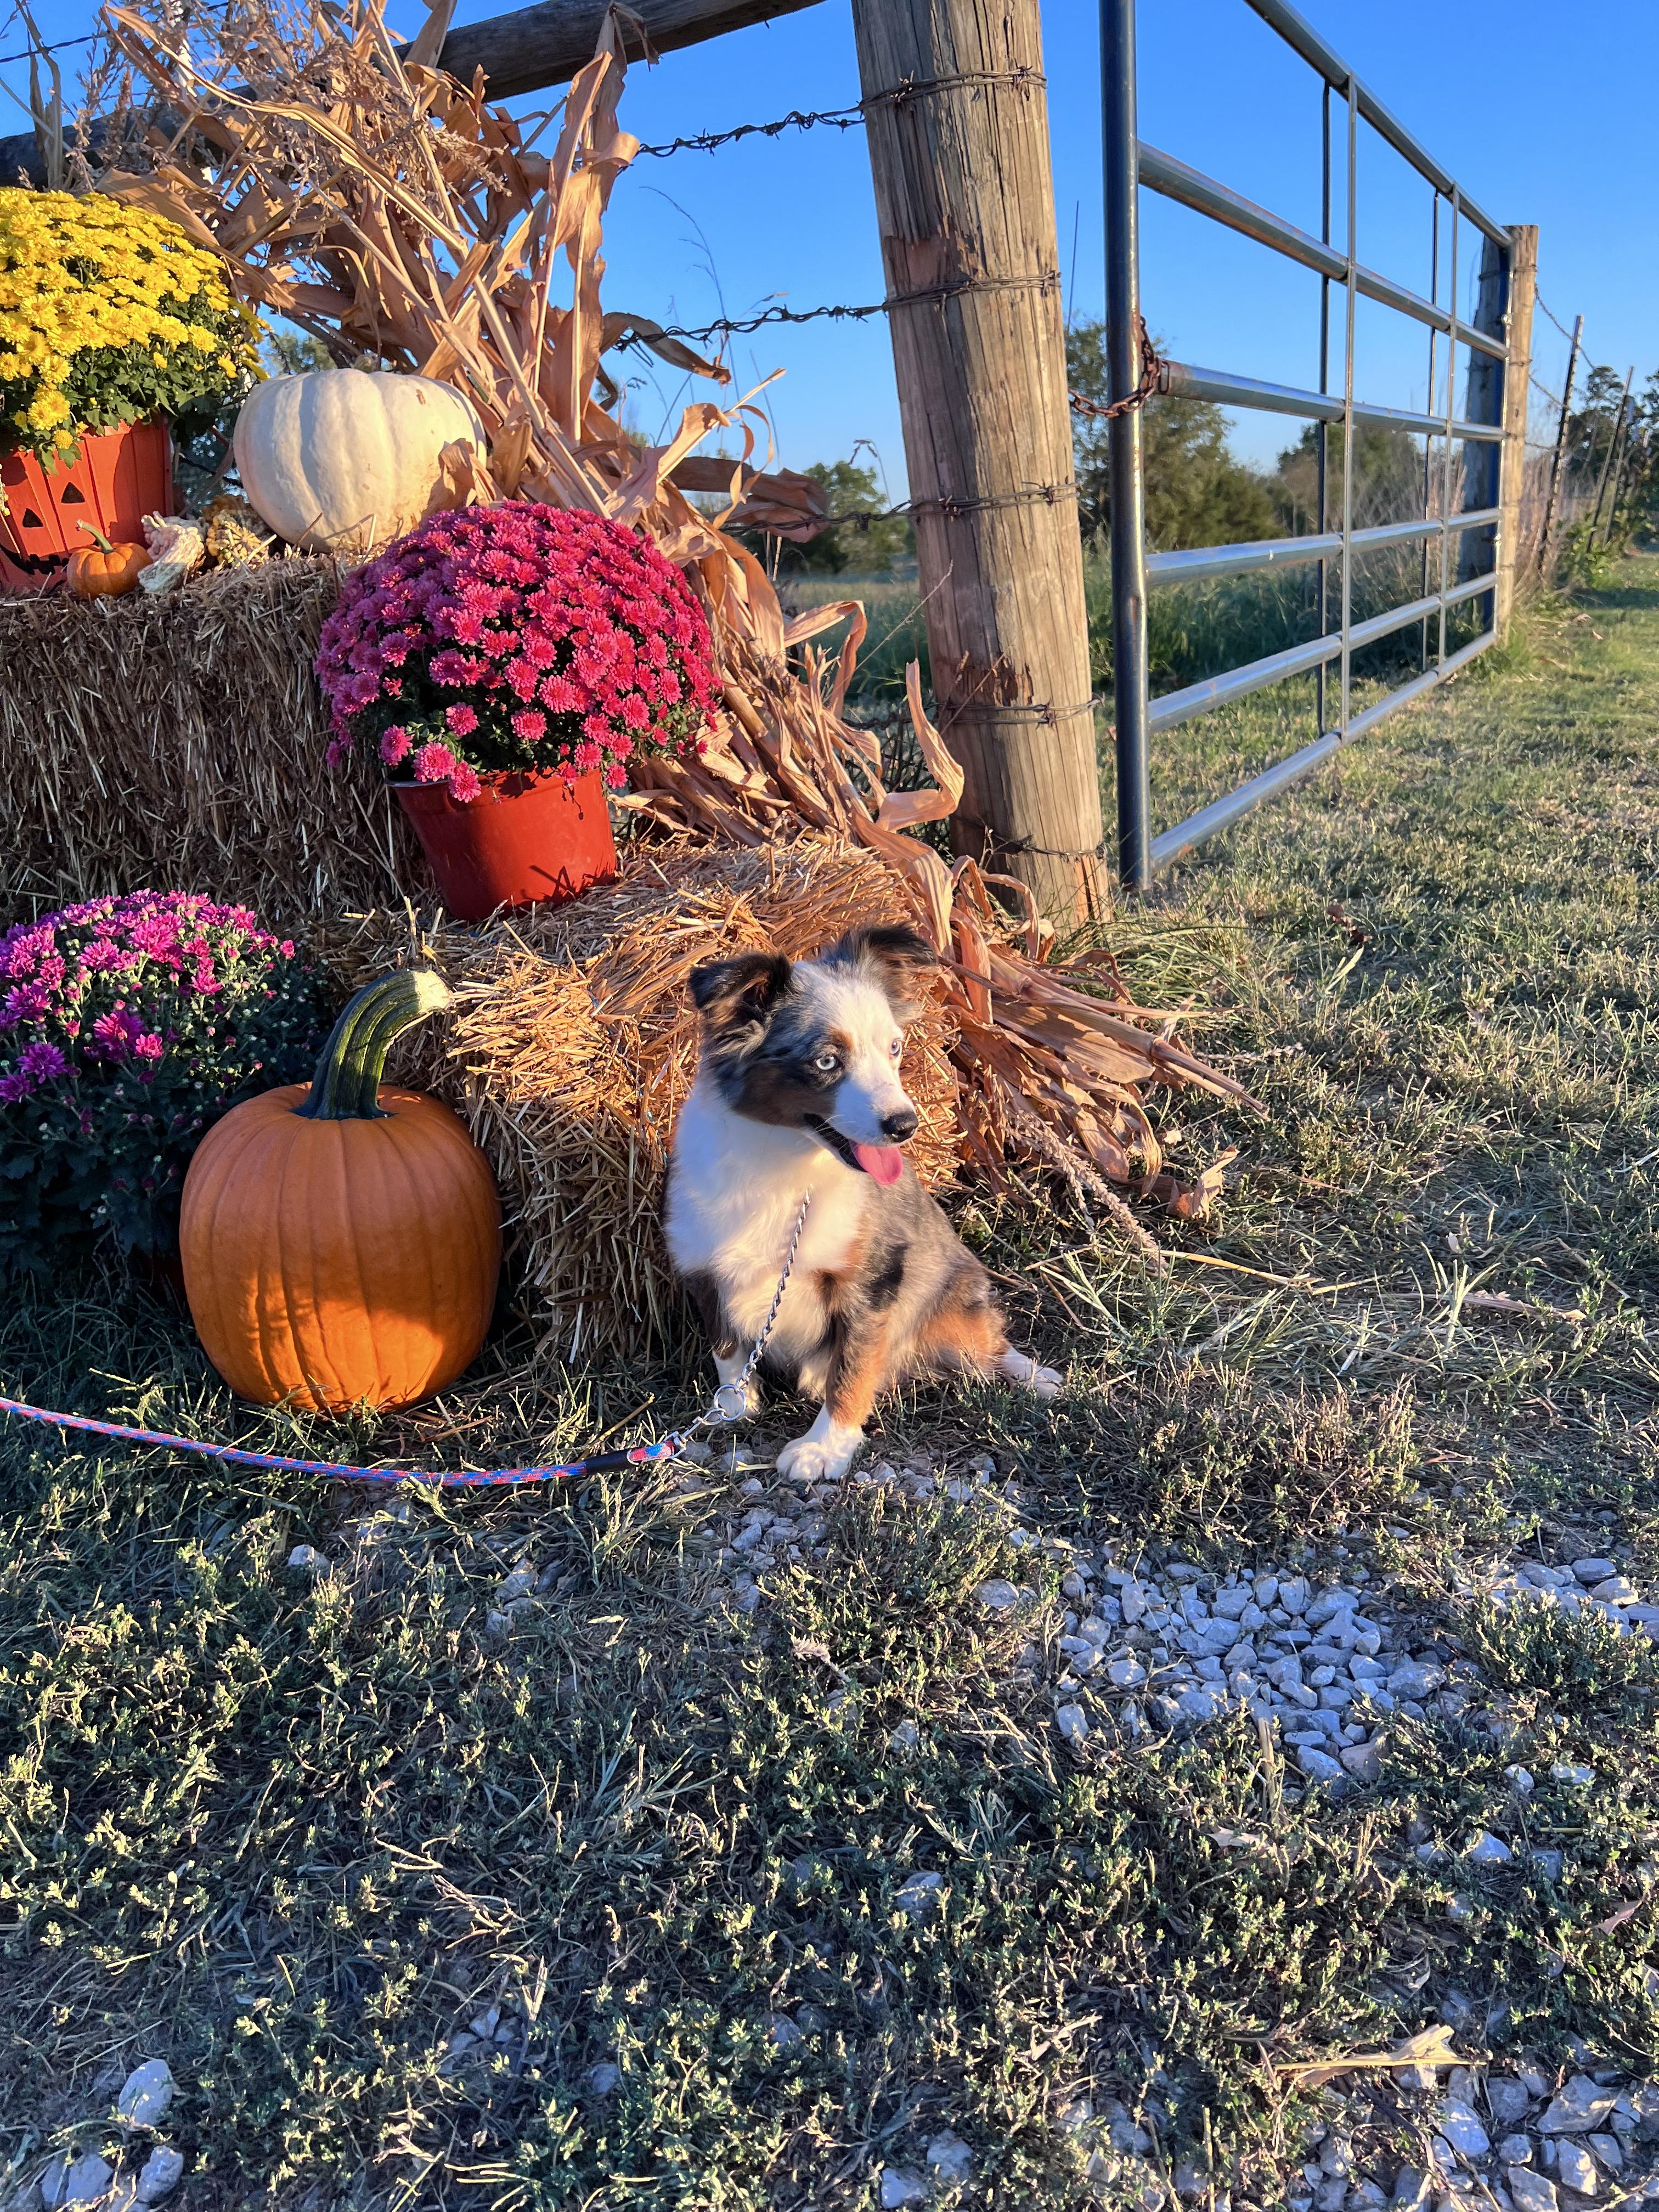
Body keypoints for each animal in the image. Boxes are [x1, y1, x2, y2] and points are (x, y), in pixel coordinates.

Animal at [664, 924, 1060, 1483]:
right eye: (827, 1061)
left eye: (894, 1048)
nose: (905, 1126)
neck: (782, 1163)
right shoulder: (703, 1266)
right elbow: (726, 1346)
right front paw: (735, 1406)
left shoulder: (872, 1281)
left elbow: (851, 1368)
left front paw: (825, 1447)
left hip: (954, 1304)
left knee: (989, 1343)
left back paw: (1034, 1375)